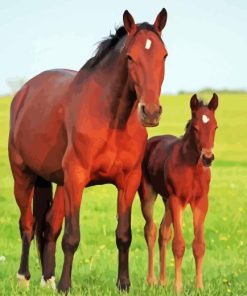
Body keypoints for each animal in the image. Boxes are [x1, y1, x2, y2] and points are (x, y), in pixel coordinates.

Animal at [8, 8, 169, 292]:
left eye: (164, 55)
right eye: (130, 57)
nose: (150, 112)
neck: (112, 119)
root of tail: (24, 93)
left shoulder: (128, 181)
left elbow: (123, 235)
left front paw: (123, 284)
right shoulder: (77, 178)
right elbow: (72, 237)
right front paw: (65, 286)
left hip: (59, 183)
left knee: (49, 226)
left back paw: (47, 279)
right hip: (23, 176)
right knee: (27, 224)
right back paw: (24, 278)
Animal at [139, 93, 218, 292]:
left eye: (215, 127)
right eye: (195, 128)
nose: (208, 158)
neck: (193, 168)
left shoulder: (200, 202)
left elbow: (199, 245)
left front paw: (199, 286)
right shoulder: (178, 200)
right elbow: (179, 245)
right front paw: (178, 287)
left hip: (167, 201)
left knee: (163, 232)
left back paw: (163, 281)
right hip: (149, 196)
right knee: (151, 230)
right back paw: (152, 280)